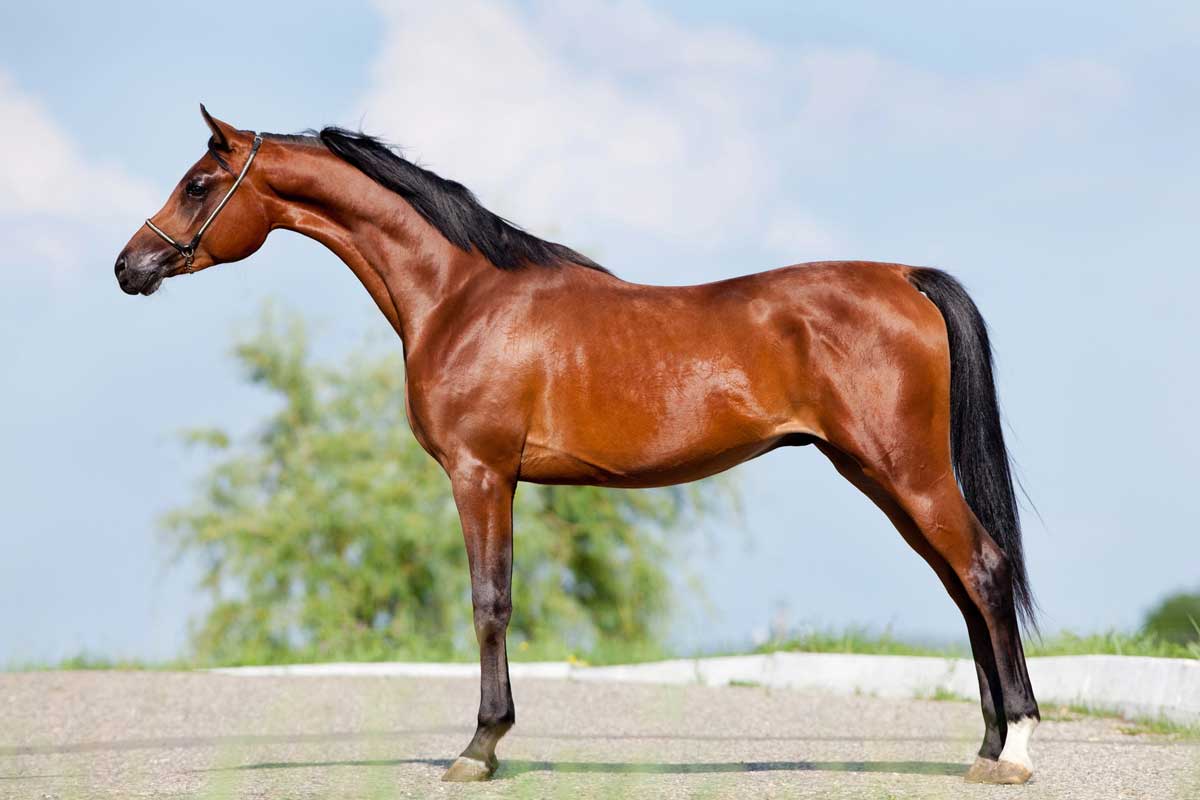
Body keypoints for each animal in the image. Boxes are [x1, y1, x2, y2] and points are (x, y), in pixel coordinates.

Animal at [115, 105, 1040, 785]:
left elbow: (490, 603)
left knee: (984, 572)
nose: (130, 267)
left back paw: (1020, 748)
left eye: (199, 184)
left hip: (905, 470)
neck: (461, 296)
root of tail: (906, 277)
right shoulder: (497, 478)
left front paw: (480, 749)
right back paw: (987, 746)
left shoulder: (481, 474)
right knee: (963, 587)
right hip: (879, 475)